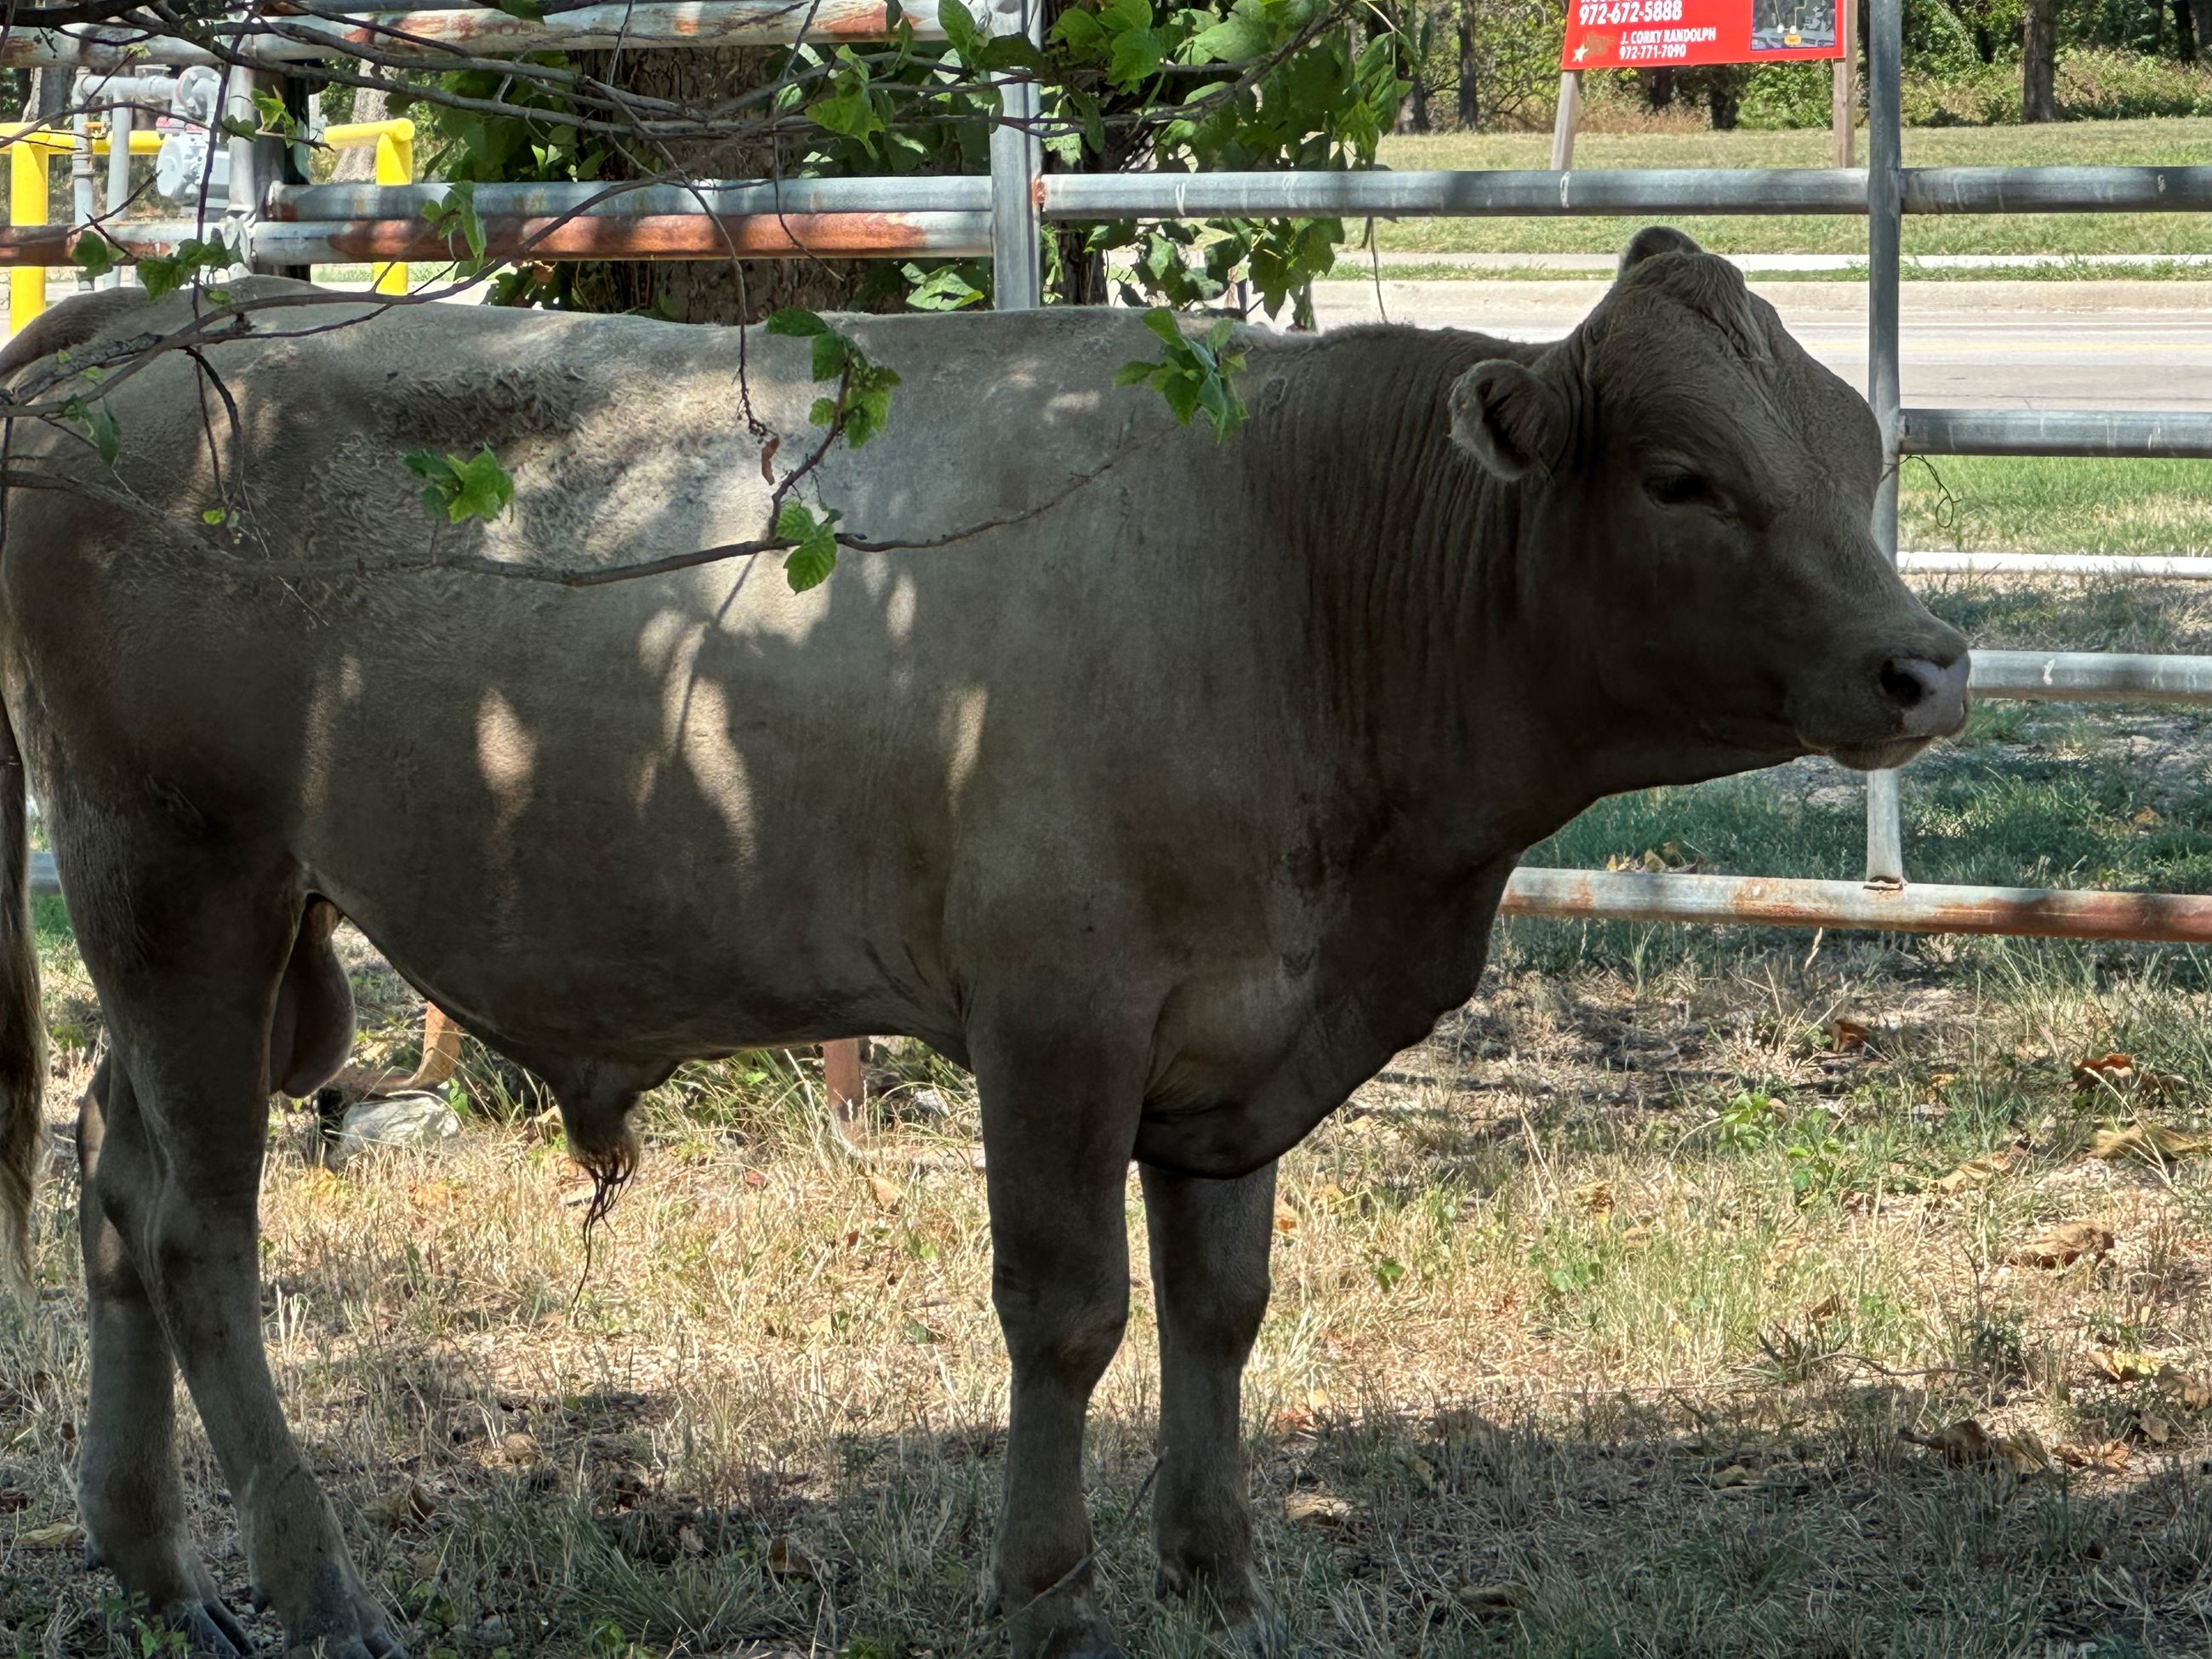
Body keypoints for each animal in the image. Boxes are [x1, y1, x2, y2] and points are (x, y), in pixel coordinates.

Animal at [0, 226, 1967, 1659]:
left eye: (1856, 448)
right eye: (1682, 477)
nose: (1925, 664)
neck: (1295, 569)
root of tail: (153, 323)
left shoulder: (1231, 1034)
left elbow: (1223, 1307)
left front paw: (1219, 1581)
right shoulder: (1057, 1013)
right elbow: (1069, 1313)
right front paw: (1050, 1599)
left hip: (251, 931)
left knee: (110, 1168)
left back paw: (154, 1560)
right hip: (175, 872)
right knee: (198, 1231)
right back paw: (316, 1589)